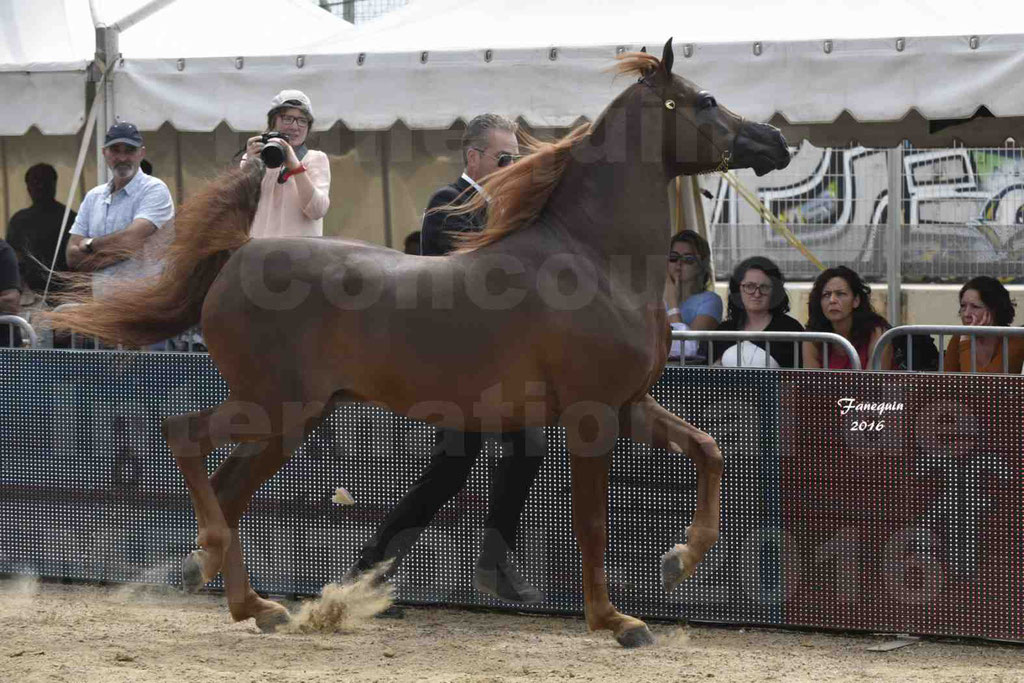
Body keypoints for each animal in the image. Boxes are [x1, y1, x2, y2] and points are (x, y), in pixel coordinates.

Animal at [46, 40, 790, 651]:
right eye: (704, 100)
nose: (777, 141)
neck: (591, 257)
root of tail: (237, 254)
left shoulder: (631, 403)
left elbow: (710, 449)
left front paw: (678, 561)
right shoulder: (592, 416)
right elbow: (593, 523)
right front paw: (617, 621)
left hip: (293, 417)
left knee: (229, 482)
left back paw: (253, 603)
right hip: (273, 406)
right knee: (184, 437)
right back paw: (224, 572)